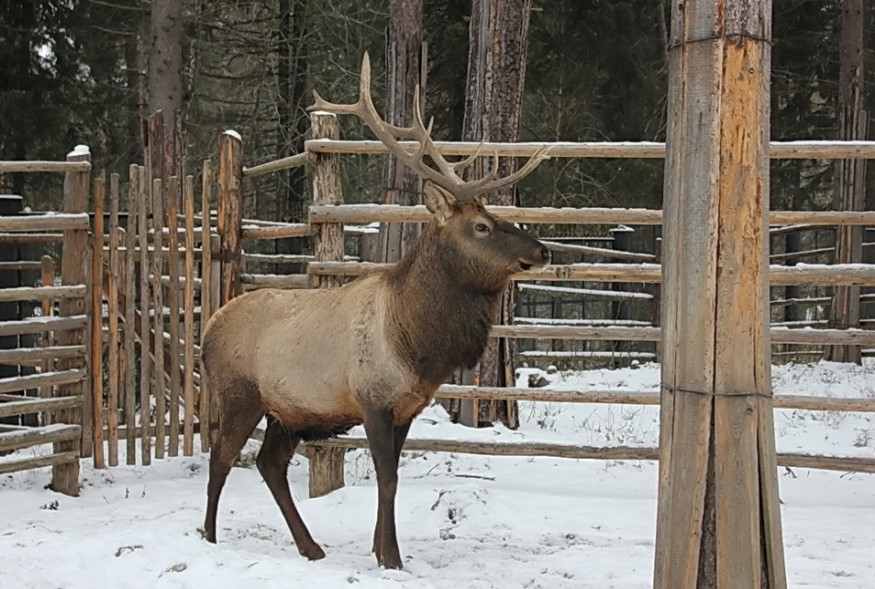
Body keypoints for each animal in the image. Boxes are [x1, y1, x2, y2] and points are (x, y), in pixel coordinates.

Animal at [200, 52, 551, 570]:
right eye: (483, 226)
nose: (543, 250)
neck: (416, 345)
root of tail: (207, 331)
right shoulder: (372, 400)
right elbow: (388, 479)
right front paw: (392, 559)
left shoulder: (407, 407)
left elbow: (392, 479)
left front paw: (381, 548)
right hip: (239, 393)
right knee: (221, 458)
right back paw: (207, 537)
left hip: (288, 411)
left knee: (269, 463)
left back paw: (311, 547)